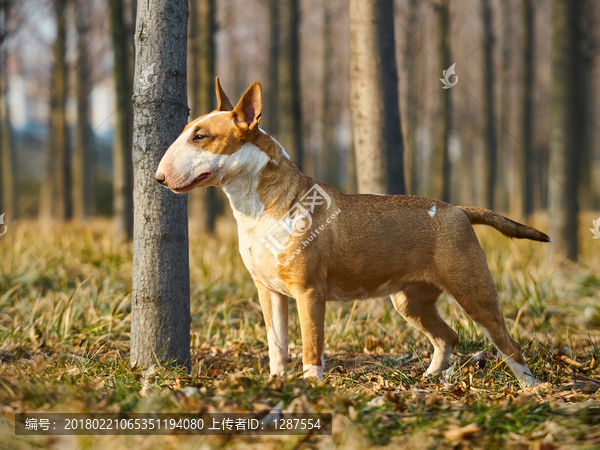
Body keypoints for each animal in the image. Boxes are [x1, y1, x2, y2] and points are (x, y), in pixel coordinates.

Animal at [157, 78, 552, 386]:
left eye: (201, 136)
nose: (159, 177)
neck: (257, 209)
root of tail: (458, 210)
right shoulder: (269, 292)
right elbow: (276, 345)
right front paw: (276, 383)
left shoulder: (308, 292)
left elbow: (311, 345)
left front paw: (312, 386)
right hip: (410, 301)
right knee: (447, 336)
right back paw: (427, 377)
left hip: (472, 290)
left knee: (507, 343)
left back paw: (530, 388)